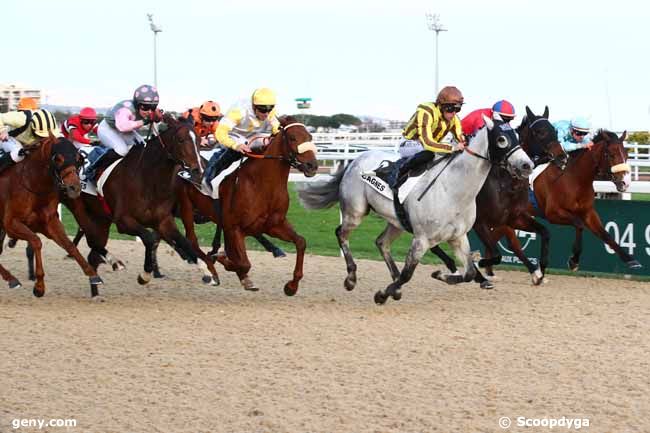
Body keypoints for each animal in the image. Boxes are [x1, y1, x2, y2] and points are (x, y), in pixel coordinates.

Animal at [0, 138, 102, 296]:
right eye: (57, 159)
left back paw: (11, 279)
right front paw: (39, 286)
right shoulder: (11, 223)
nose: (74, 188)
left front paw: (93, 275)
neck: (33, 185)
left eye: (79, 159)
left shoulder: (50, 222)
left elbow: (69, 245)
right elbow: (36, 241)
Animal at [214, 116, 318, 296]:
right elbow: (243, 263)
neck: (262, 184)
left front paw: (291, 286)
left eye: (310, 137)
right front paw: (222, 259)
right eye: (292, 138)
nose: (312, 165)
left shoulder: (273, 225)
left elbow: (301, 242)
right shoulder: (235, 227)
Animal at [298, 115, 532, 304]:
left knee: (381, 243)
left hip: (396, 221)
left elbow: (468, 273)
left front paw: (440, 275)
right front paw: (382, 294)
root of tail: (355, 160)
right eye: (501, 139)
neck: (453, 191)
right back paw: (351, 278)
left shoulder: (458, 237)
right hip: (355, 212)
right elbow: (408, 274)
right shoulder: (422, 239)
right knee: (341, 233)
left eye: (517, 137)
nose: (527, 165)